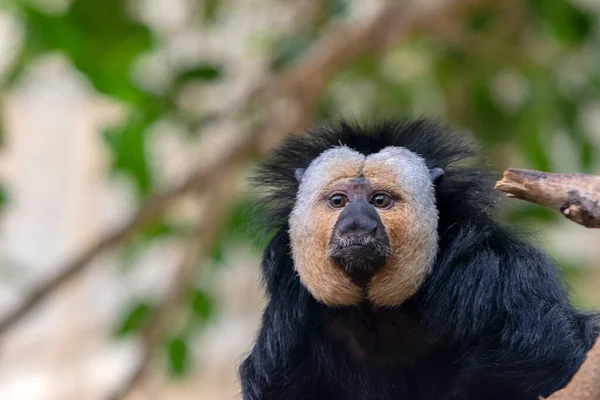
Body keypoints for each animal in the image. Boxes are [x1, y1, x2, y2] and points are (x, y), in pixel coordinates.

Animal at [237, 119, 596, 400]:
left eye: (380, 200)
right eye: (339, 201)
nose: (357, 224)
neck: (378, 313)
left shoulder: (491, 273)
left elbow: (552, 357)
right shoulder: (289, 320)